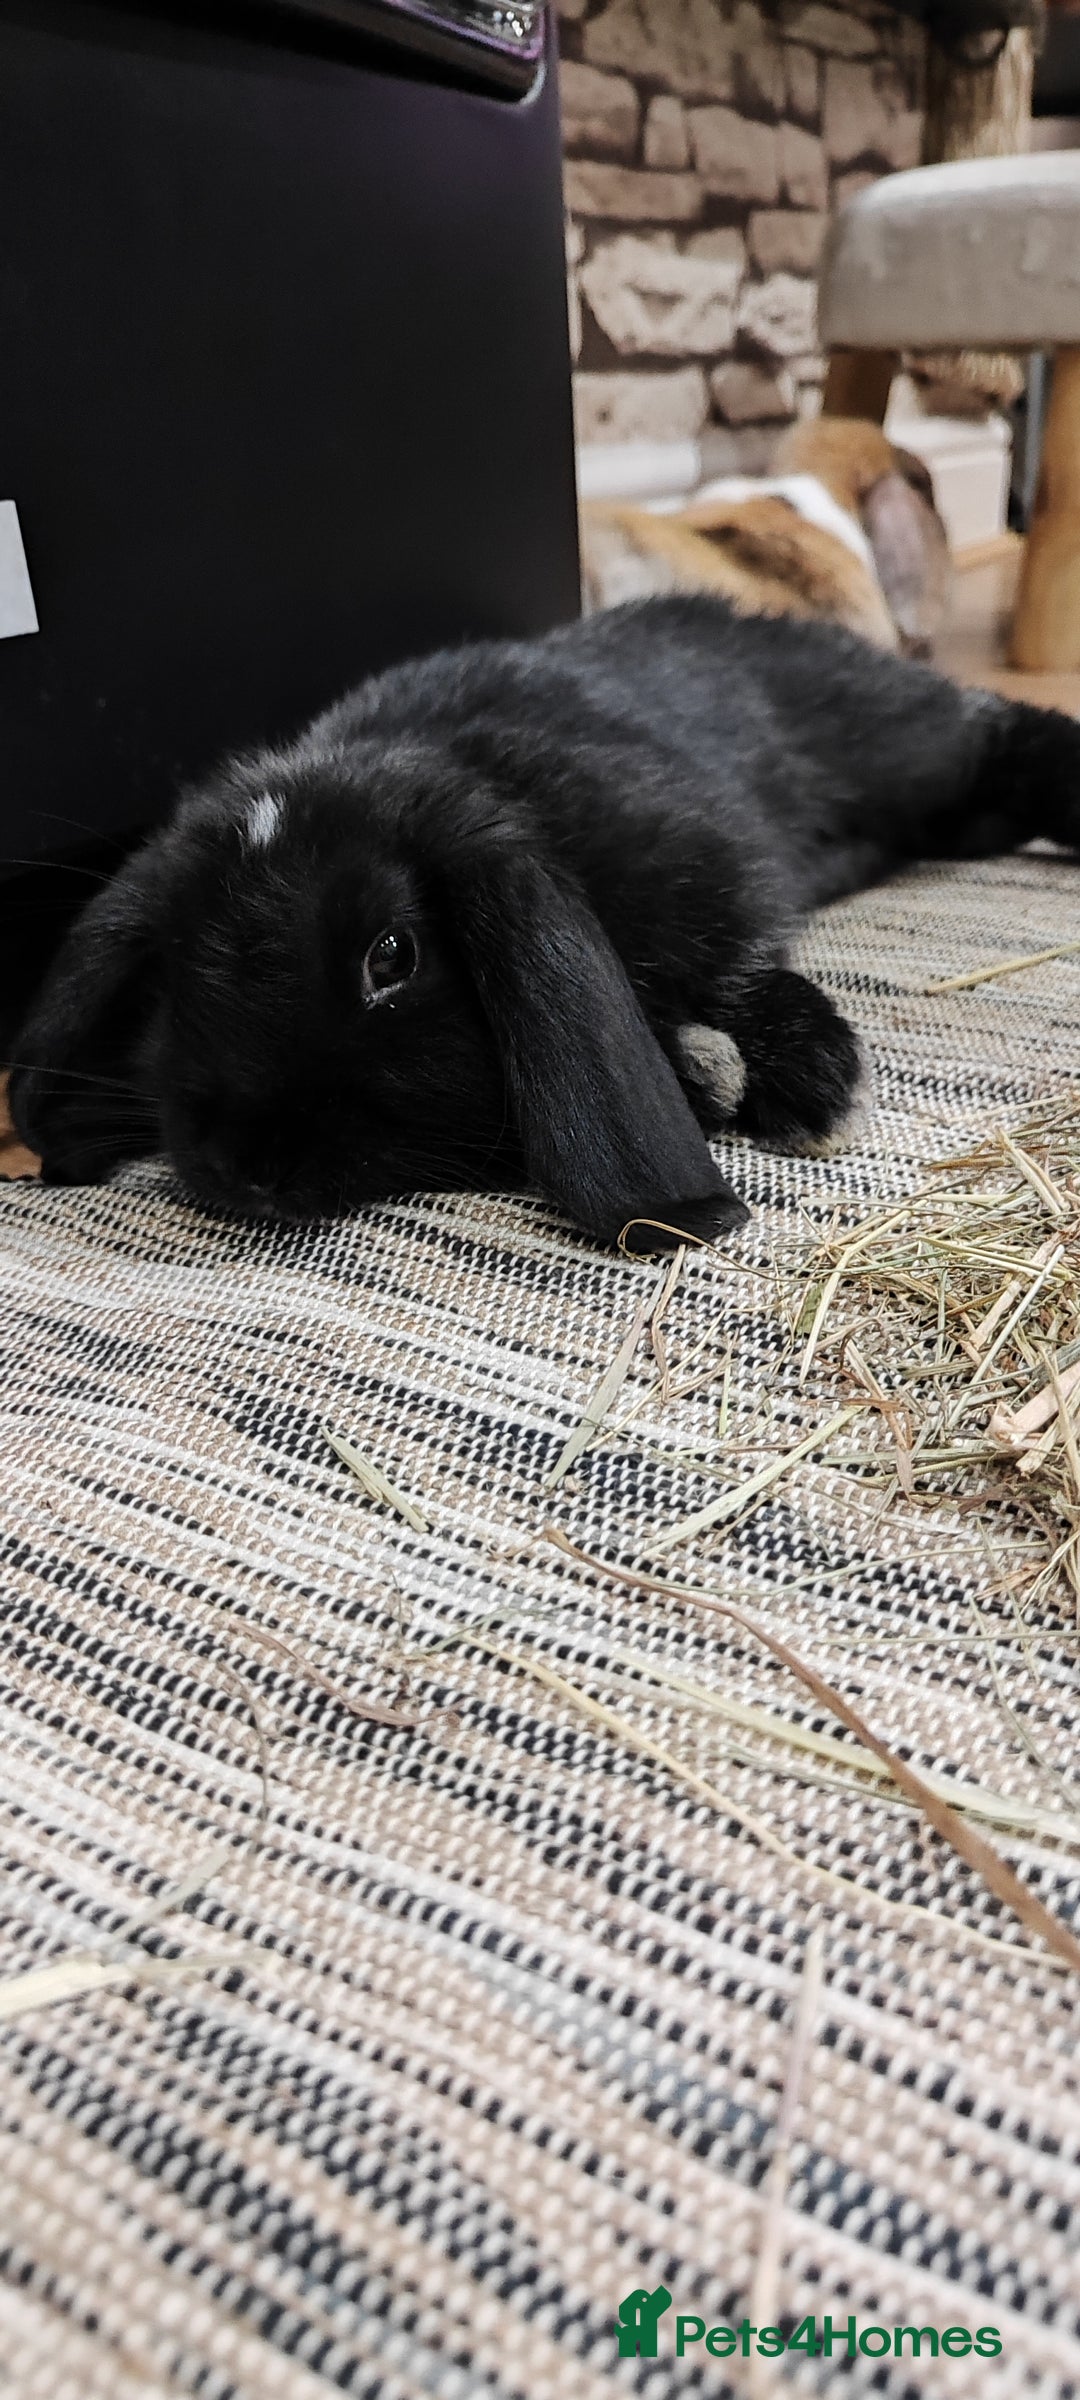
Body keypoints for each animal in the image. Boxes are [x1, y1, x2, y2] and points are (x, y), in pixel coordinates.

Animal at [9, 591, 1080, 1253]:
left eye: (391, 956)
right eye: (172, 972)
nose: (243, 1167)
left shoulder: (711, 864)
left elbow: (736, 964)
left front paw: (809, 1081)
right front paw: (711, 1075)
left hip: (891, 741)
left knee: (997, 731)